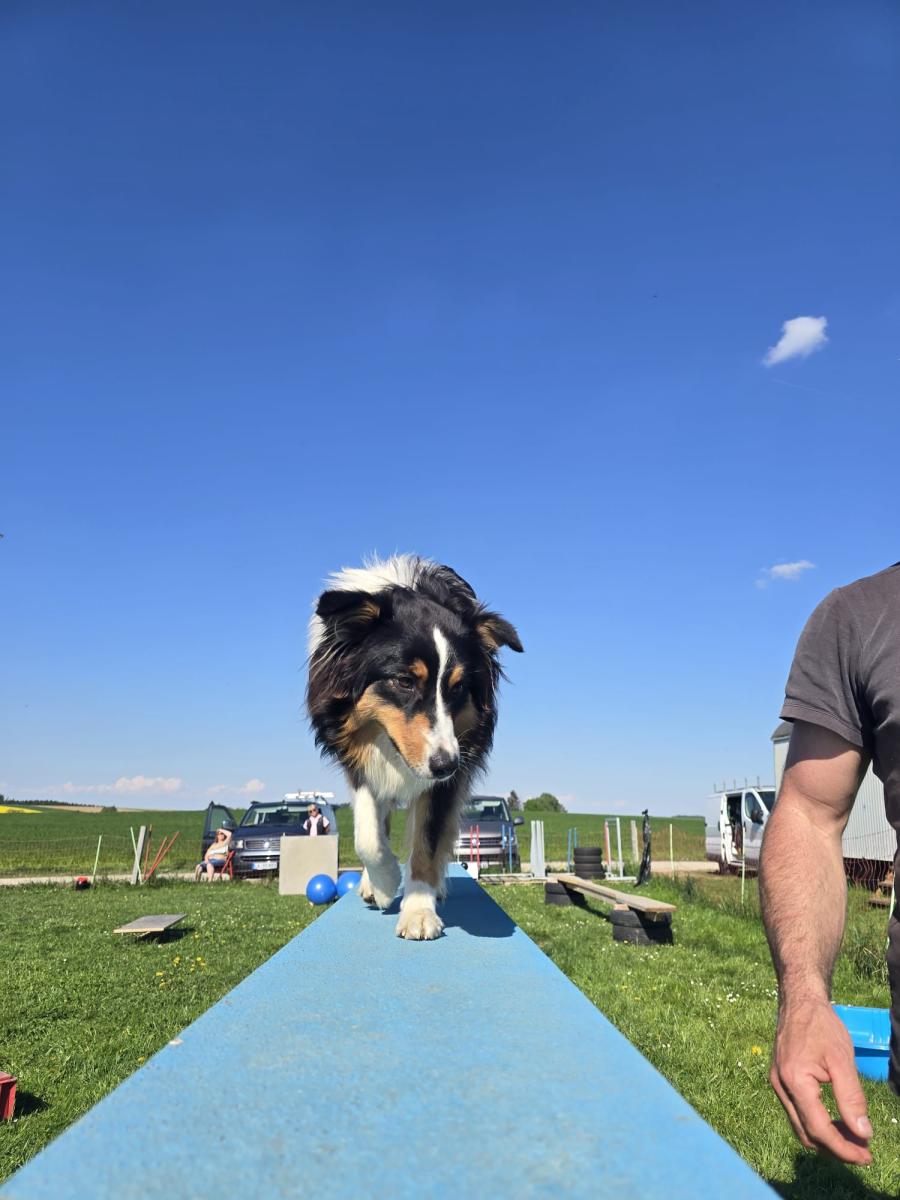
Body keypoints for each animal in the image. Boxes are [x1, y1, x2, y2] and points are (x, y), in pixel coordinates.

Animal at [306, 555, 522, 940]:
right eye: (404, 681)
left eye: (458, 687)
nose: (445, 764)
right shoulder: (354, 753)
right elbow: (368, 833)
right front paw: (385, 881)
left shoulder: (451, 774)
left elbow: (428, 839)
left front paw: (419, 908)